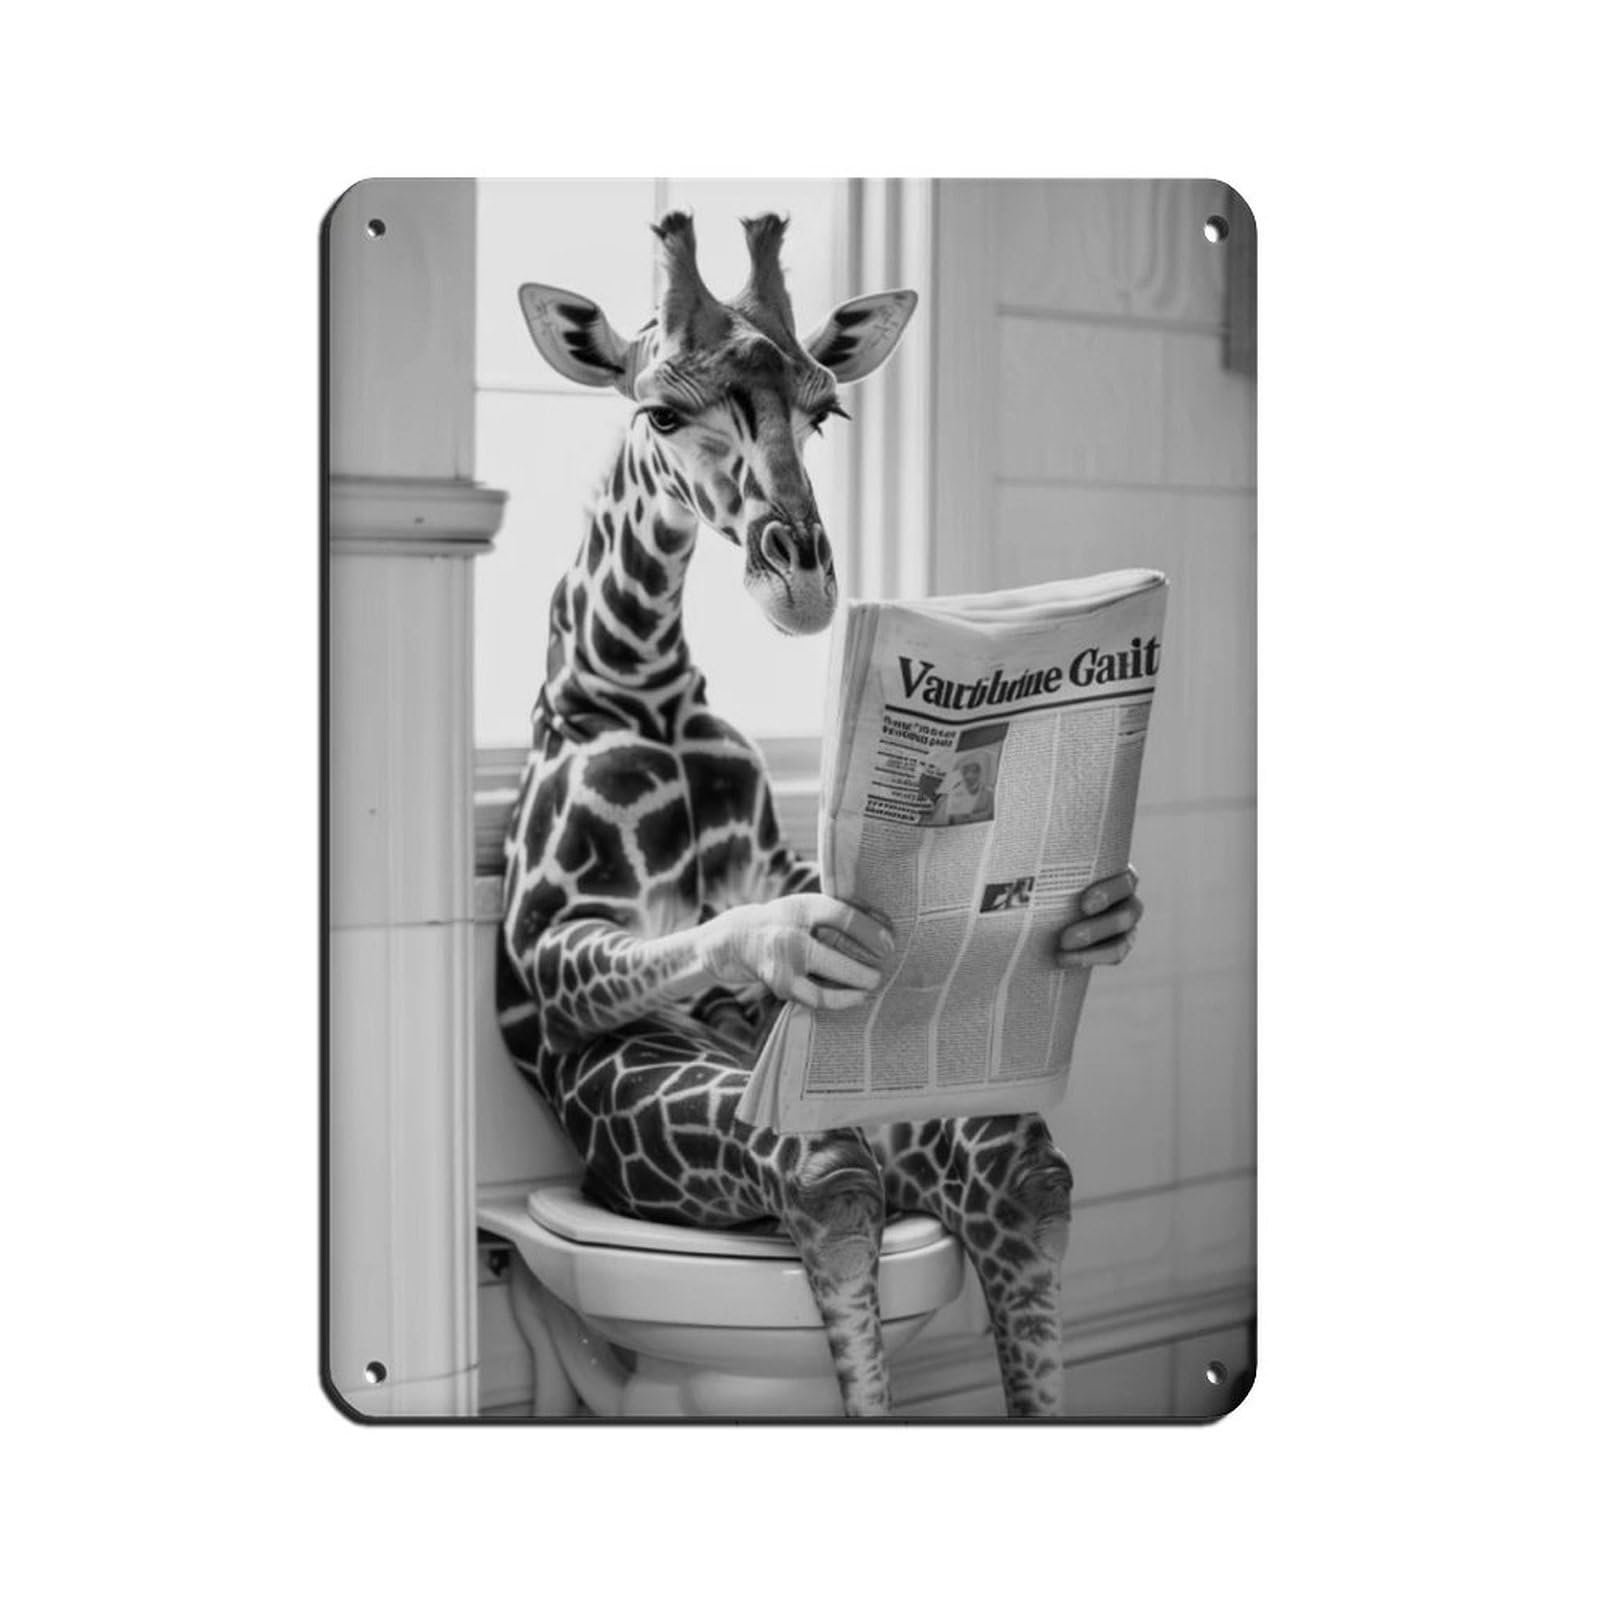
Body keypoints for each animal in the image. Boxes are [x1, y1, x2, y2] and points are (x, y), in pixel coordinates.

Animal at [497, 211, 1143, 1416]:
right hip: (762, 1125)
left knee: (1026, 1182)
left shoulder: (784, 857)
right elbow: (695, 934)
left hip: (934, 1108)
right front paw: (785, 945)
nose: (801, 585)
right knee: (834, 1183)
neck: (636, 679)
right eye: (660, 410)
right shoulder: (541, 942)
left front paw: (1105, 912)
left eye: (824, 409)